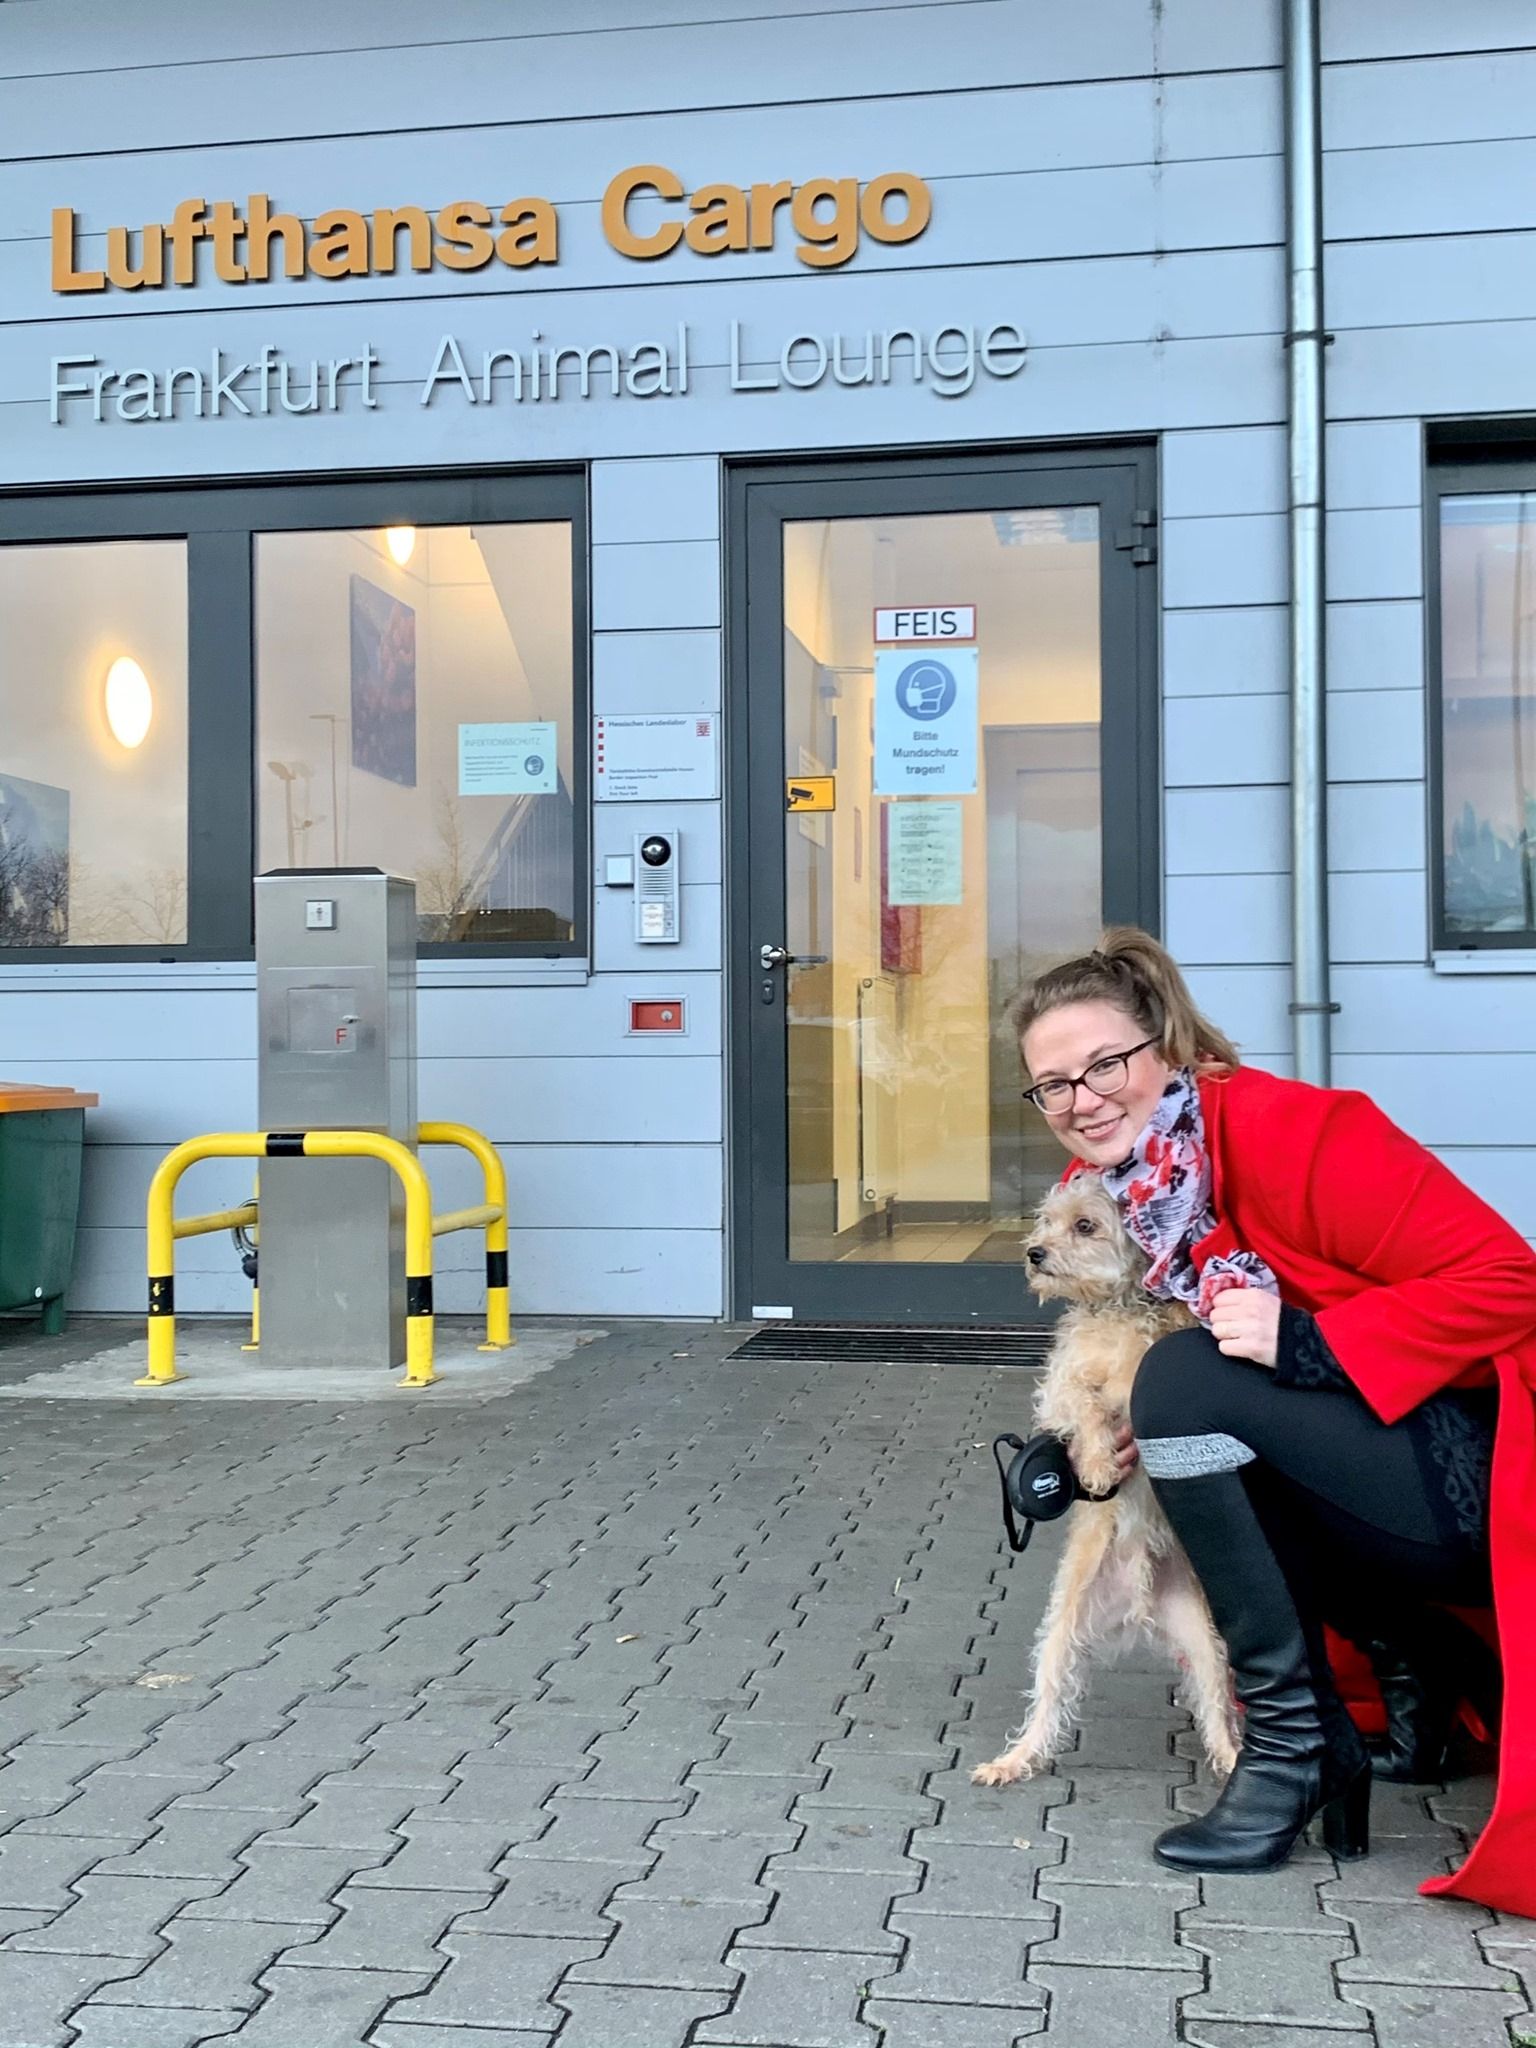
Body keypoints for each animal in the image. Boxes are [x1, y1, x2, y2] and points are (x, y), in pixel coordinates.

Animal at [978, 1179, 1245, 1785]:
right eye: (1046, 1220)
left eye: (1085, 1225)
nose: (1034, 1253)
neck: (1120, 1309)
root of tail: (1136, 1608)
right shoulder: (1059, 1390)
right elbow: (1088, 1405)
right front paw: (1100, 1464)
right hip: (1060, 1634)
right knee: (1047, 1703)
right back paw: (1014, 1760)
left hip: (1205, 1642)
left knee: (1215, 1704)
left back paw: (1230, 1755)